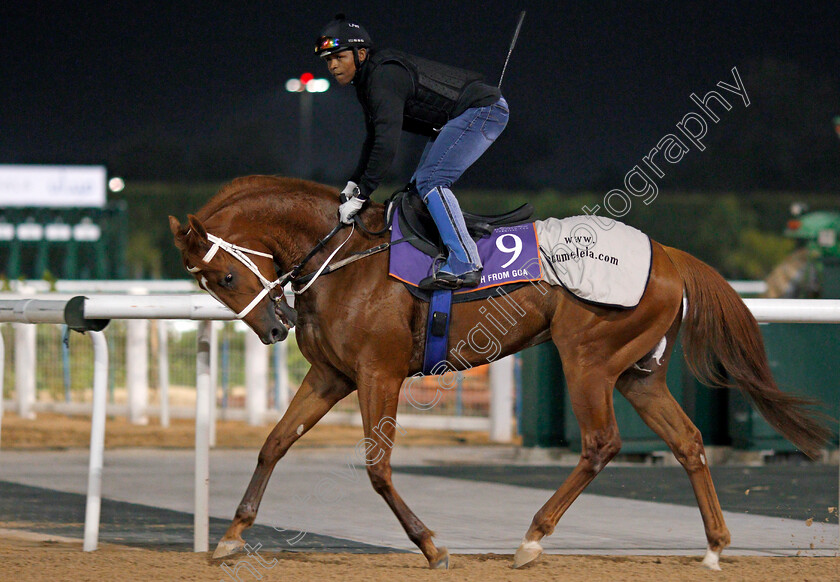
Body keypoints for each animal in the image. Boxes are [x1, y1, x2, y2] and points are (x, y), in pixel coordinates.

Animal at [169, 176, 828, 572]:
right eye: (209, 285)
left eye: (224, 276)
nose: (273, 328)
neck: (347, 258)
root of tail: (669, 255)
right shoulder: (331, 375)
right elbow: (274, 443)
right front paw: (231, 537)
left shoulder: (378, 372)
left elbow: (377, 468)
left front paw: (432, 546)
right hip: (639, 372)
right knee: (688, 441)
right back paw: (715, 547)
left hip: (588, 359)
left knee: (601, 442)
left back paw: (532, 538)